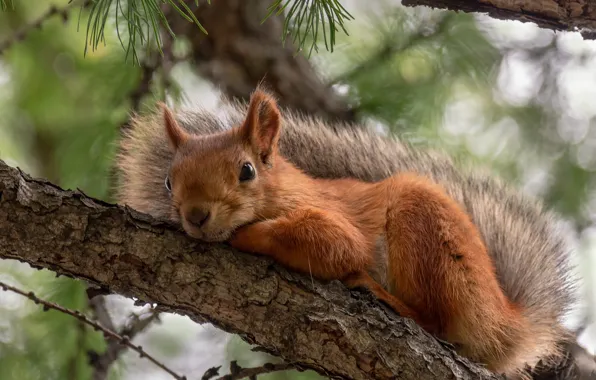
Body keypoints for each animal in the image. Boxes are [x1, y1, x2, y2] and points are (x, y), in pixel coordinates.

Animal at [115, 88, 576, 378]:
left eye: (246, 171)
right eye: (169, 182)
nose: (195, 215)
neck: (283, 190)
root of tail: (504, 319)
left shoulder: (336, 221)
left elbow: (335, 247)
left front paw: (244, 235)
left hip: (426, 232)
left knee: (433, 321)